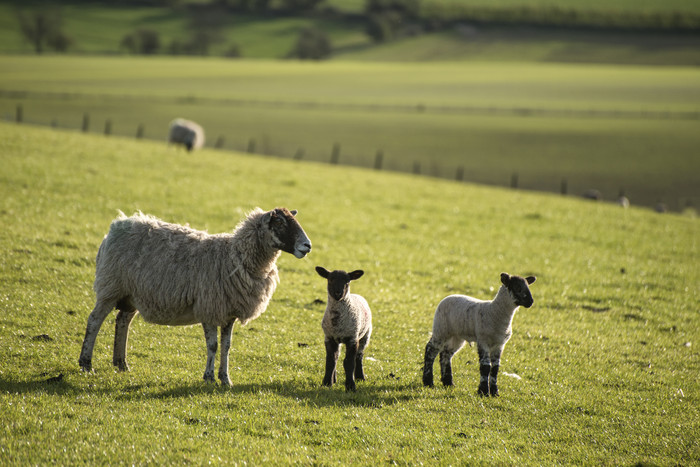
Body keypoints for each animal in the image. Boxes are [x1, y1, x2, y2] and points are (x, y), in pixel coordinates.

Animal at [77, 208, 314, 388]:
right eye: (280, 222)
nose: (307, 246)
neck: (234, 256)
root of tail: (118, 225)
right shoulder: (209, 307)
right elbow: (213, 346)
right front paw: (209, 378)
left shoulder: (229, 313)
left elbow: (227, 347)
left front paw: (226, 379)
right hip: (111, 287)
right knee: (94, 320)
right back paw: (86, 364)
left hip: (131, 294)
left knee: (122, 321)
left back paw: (121, 363)